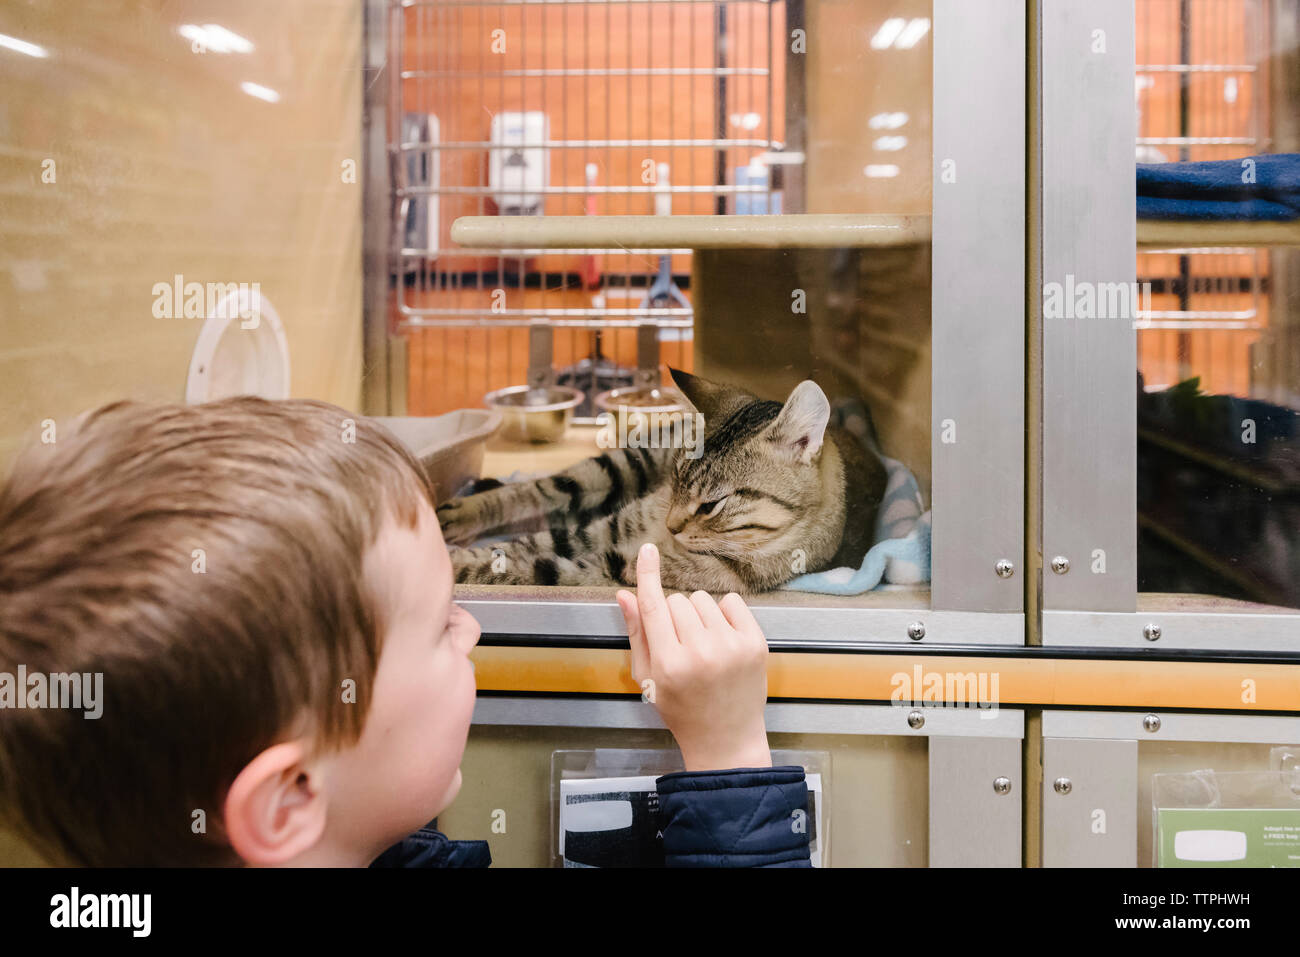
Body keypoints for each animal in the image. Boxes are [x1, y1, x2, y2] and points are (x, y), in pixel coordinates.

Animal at [436, 366, 883, 590]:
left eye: (712, 504)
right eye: (677, 477)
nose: (671, 525)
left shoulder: (614, 565)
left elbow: (532, 564)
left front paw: (453, 566)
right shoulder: (609, 528)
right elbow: (519, 547)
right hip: (624, 463)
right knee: (538, 490)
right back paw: (457, 513)